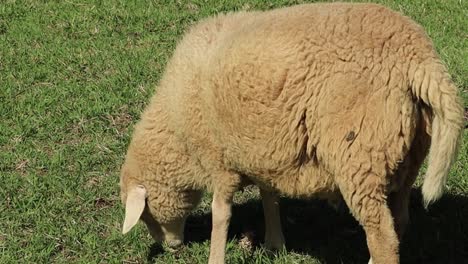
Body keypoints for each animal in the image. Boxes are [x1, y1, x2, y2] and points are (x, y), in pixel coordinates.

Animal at [119, 2, 464, 264]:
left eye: (147, 216)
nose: (171, 248)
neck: (177, 130)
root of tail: (418, 55)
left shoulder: (219, 159)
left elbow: (221, 215)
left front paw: (216, 257)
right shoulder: (262, 151)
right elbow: (269, 196)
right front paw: (275, 243)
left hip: (359, 155)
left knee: (383, 238)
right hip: (408, 153)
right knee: (400, 220)